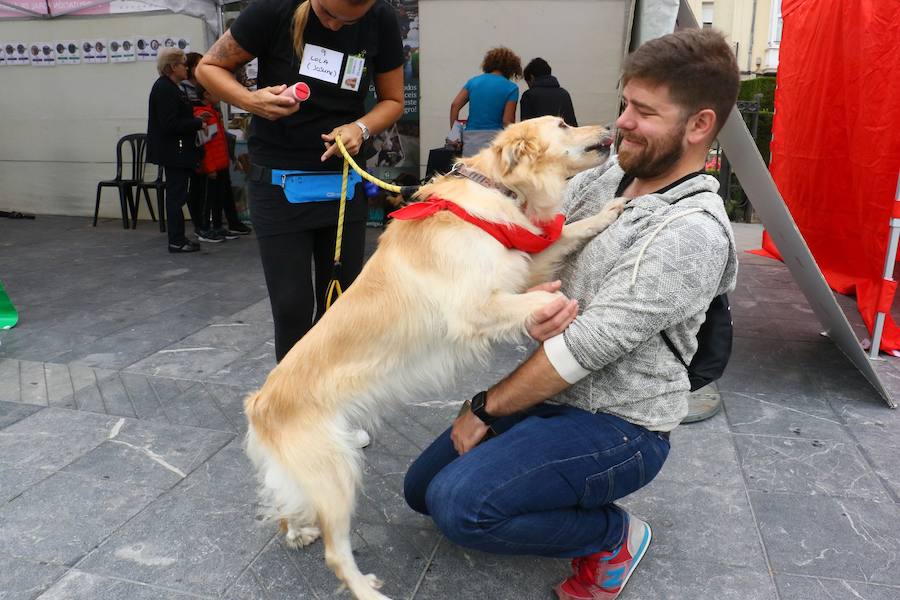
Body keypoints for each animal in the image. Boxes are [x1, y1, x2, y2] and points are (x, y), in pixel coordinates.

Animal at [246, 115, 624, 596]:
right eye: (563, 123)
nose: (611, 125)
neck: (496, 190)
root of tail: (258, 404)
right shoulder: (474, 308)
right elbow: (546, 302)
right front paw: (566, 319)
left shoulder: (519, 269)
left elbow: (567, 234)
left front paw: (608, 213)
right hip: (336, 474)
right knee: (336, 555)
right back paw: (368, 590)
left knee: (283, 503)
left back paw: (298, 531)